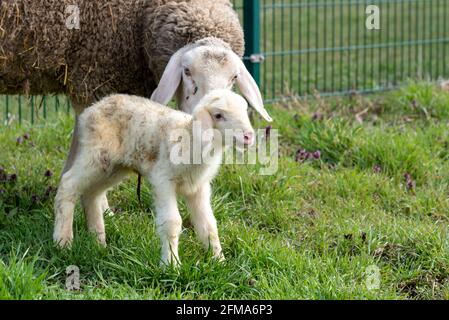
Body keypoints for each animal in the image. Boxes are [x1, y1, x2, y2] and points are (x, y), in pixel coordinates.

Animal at [52, 89, 254, 264]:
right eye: (219, 115)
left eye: (244, 111)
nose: (248, 136)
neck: (190, 139)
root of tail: (92, 109)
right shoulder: (163, 179)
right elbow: (172, 222)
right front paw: (171, 265)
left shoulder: (198, 188)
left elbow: (209, 225)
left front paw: (219, 261)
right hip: (96, 154)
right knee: (68, 184)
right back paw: (63, 243)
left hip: (114, 167)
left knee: (91, 194)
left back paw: (98, 243)